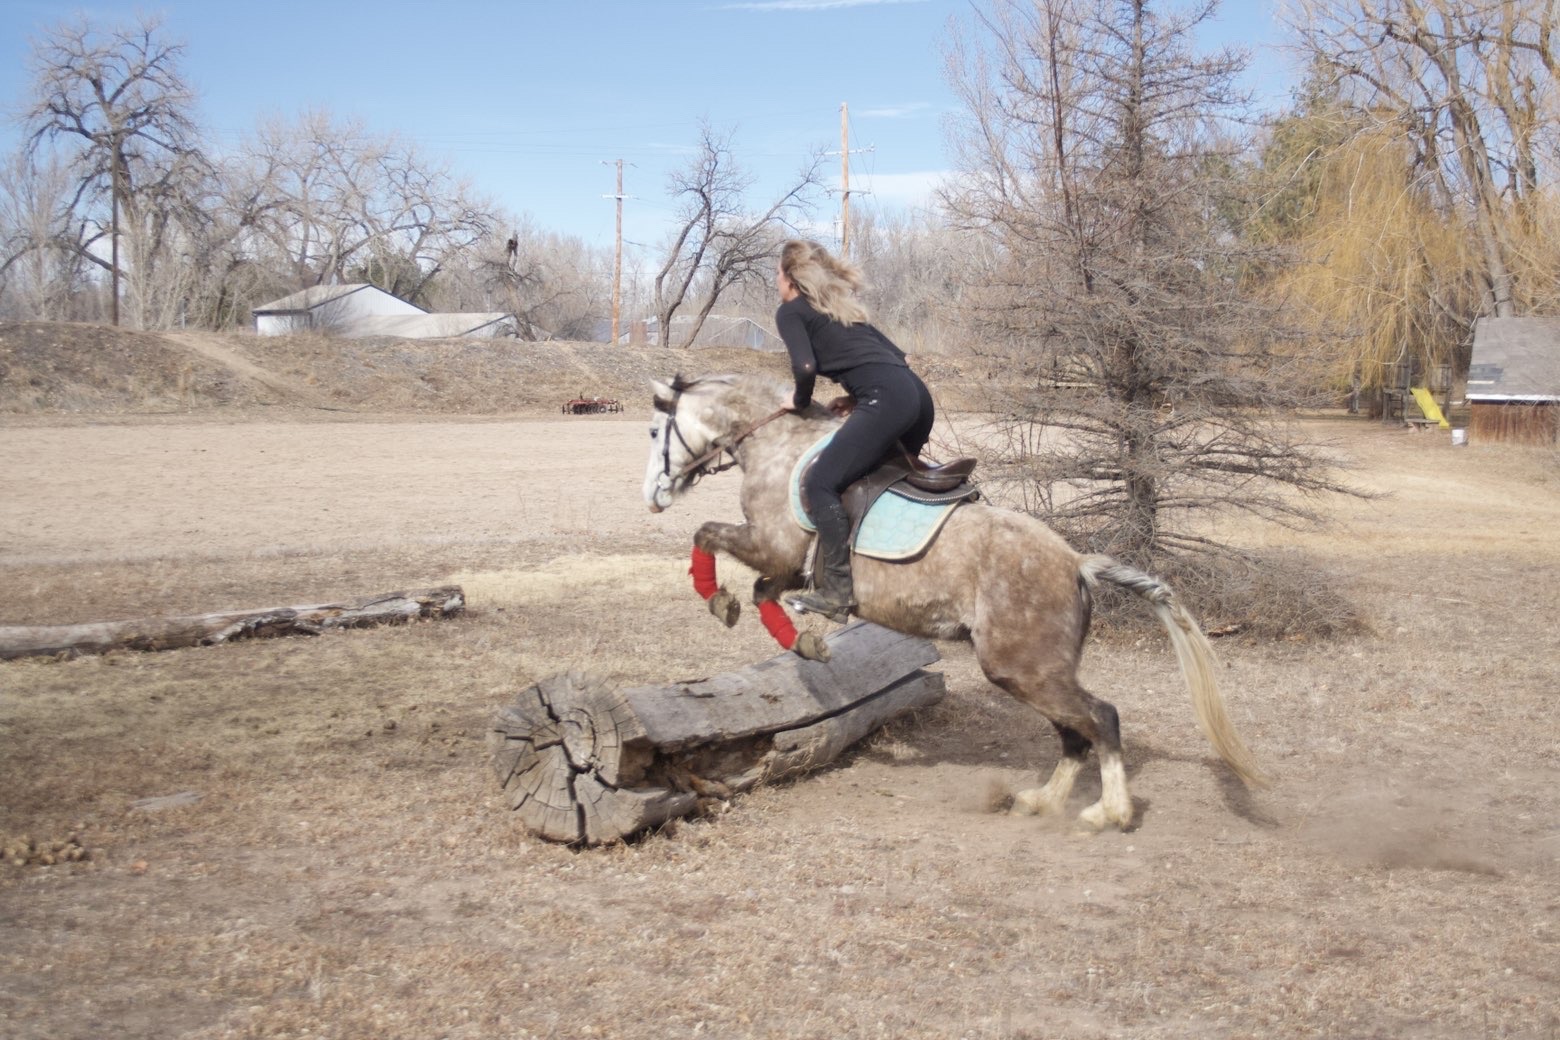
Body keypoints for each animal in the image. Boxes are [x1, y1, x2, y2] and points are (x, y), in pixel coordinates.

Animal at [641, 372, 1266, 830]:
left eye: (653, 433)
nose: (652, 497)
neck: (775, 446)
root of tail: (1075, 562)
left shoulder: (772, 547)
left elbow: (707, 536)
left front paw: (719, 600)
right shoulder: (785, 565)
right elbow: (762, 590)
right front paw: (803, 640)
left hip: (1022, 666)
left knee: (1101, 719)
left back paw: (1106, 813)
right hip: (1034, 670)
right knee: (1074, 734)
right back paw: (1041, 801)